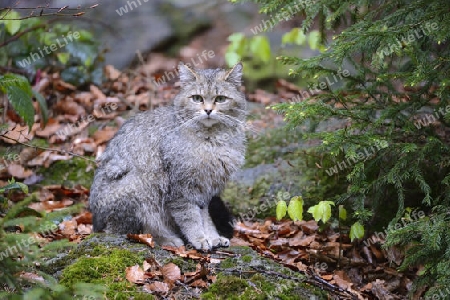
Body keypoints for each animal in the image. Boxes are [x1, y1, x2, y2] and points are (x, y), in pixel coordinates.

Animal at [89, 62, 246, 251]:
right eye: (197, 98)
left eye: (221, 99)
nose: (208, 110)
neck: (212, 140)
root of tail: (95, 224)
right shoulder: (181, 189)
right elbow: (190, 218)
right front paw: (199, 239)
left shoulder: (205, 191)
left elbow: (206, 217)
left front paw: (213, 237)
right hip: (139, 185)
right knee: (129, 231)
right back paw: (167, 239)